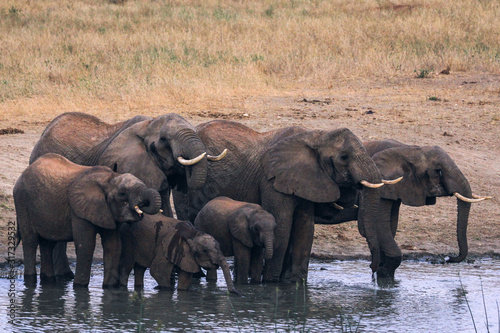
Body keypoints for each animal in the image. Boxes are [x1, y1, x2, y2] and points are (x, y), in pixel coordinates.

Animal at [13, 152, 161, 286]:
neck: (110, 178)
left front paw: (109, 287)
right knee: (30, 240)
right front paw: (80, 286)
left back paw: (48, 280)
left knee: (47, 244)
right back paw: (30, 279)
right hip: (22, 201)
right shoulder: (78, 209)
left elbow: (113, 246)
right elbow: (86, 245)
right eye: (122, 194)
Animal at [173, 120, 402, 282]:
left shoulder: (308, 179)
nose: (373, 270)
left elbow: (304, 229)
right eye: (344, 157)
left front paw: (295, 284)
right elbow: (282, 228)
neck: (316, 135)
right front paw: (271, 283)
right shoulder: (272, 180)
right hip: (186, 183)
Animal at [314, 139, 490, 266]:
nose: (448, 258)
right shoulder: (384, 184)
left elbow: (390, 225)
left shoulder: (398, 188)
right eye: (439, 171)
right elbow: (381, 225)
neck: (410, 149)